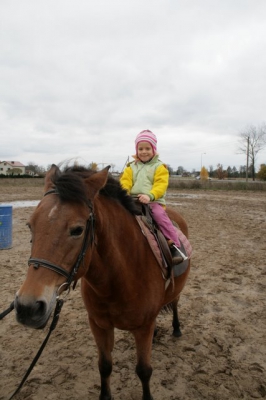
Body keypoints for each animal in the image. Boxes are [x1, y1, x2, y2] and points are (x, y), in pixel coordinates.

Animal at [14, 164, 189, 398]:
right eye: (30, 225)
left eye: (77, 230)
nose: (28, 307)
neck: (117, 280)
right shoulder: (98, 325)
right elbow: (104, 366)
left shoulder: (142, 327)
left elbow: (144, 371)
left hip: (176, 290)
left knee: (176, 303)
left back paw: (177, 328)